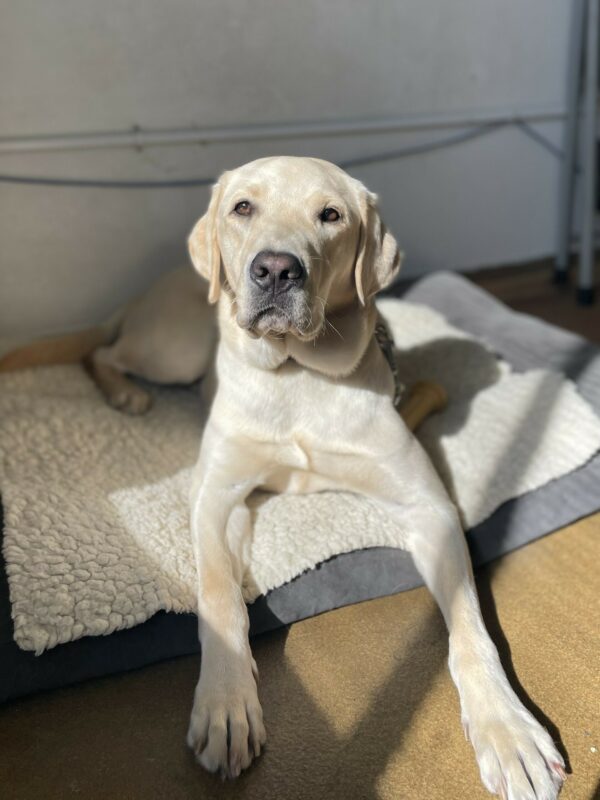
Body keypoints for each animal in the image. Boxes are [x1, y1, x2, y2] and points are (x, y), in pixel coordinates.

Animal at [0, 155, 564, 792]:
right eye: (243, 207)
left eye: (331, 215)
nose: (275, 270)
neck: (298, 373)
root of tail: (149, 289)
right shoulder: (215, 495)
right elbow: (219, 596)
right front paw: (226, 704)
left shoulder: (430, 508)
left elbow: (470, 625)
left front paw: (507, 728)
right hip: (174, 349)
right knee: (100, 353)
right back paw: (125, 393)